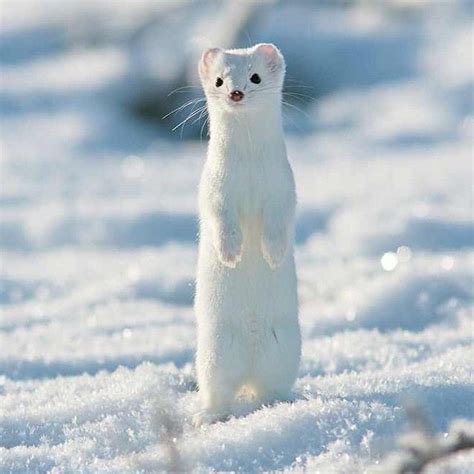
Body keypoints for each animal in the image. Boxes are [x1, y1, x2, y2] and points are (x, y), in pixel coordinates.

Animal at [193, 42, 300, 424]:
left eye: (254, 77)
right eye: (219, 80)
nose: (236, 93)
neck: (250, 174)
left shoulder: (283, 188)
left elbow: (279, 219)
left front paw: (273, 253)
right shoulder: (214, 190)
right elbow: (220, 219)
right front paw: (230, 252)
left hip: (285, 350)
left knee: (273, 386)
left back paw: (281, 404)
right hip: (214, 353)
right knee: (218, 389)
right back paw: (207, 415)